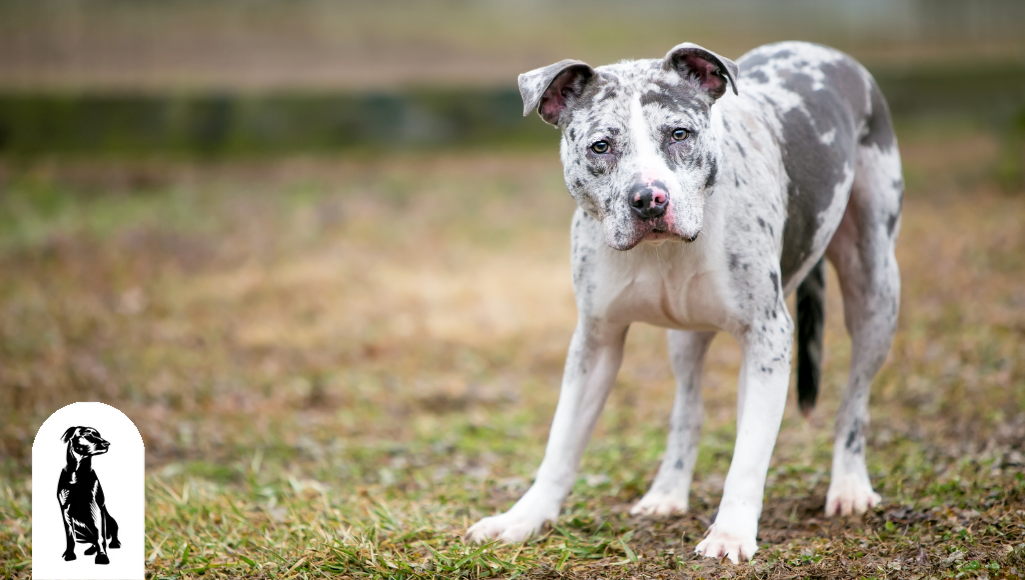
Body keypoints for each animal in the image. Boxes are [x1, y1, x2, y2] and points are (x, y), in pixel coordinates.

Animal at [58, 424, 119, 565]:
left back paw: (113, 544)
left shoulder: (96, 506)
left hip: (110, 520)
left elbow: (100, 536)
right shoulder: (65, 509)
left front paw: (102, 556)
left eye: (99, 435)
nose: (107, 443)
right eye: (87, 435)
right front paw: (69, 554)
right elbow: (70, 536)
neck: (78, 472)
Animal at [469, 39, 902, 565]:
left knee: (853, 401)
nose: (649, 199)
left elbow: (749, 454)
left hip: (874, 291)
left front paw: (732, 533)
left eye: (679, 133)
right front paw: (524, 518)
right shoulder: (595, 341)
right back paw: (667, 493)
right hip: (688, 337)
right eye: (600, 146)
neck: (664, 252)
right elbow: (562, 442)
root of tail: (822, 50)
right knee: (688, 411)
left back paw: (850, 485)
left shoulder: (768, 335)